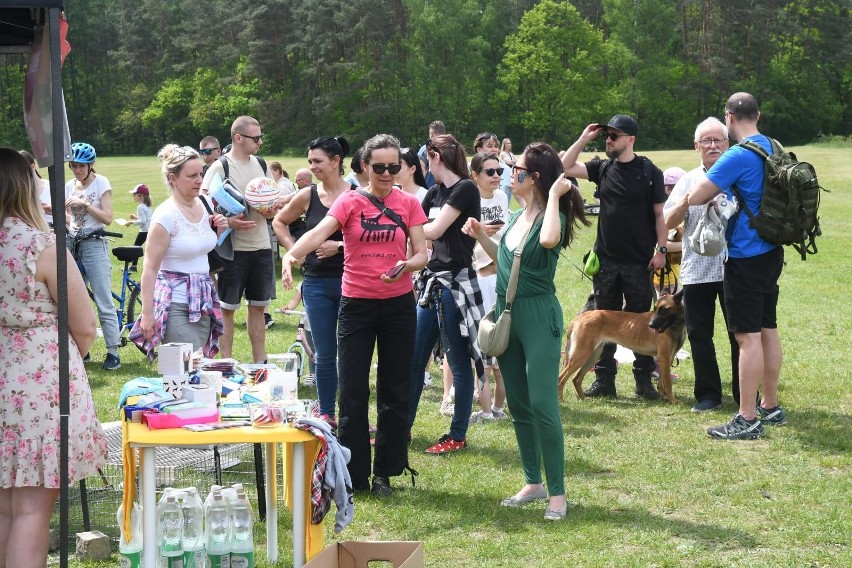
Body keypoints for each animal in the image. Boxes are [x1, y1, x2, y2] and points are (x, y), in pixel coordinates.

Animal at [556, 288, 688, 404]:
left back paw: (583, 399)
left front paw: (663, 398)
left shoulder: (667, 359)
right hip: (582, 355)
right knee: (561, 378)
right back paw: (561, 400)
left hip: (593, 355)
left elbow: (661, 383)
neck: (674, 325)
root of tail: (579, 318)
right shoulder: (664, 358)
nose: (650, 325)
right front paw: (672, 400)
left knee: (576, 378)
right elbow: (668, 383)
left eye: (664, 309)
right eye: (655, 309)